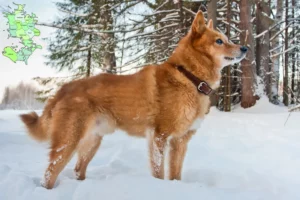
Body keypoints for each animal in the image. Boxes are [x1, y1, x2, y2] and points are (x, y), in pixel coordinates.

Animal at [19, 11, 247, 189]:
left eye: (227, 38)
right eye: (219, 41)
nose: (245, 48)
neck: (189, 77)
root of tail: (63, 89)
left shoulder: (180, 141)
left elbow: (176, 175)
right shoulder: (159, 137)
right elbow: (159, 173)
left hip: (92, 142)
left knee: (77, 170)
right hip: (68, 141)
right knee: (49, 174)